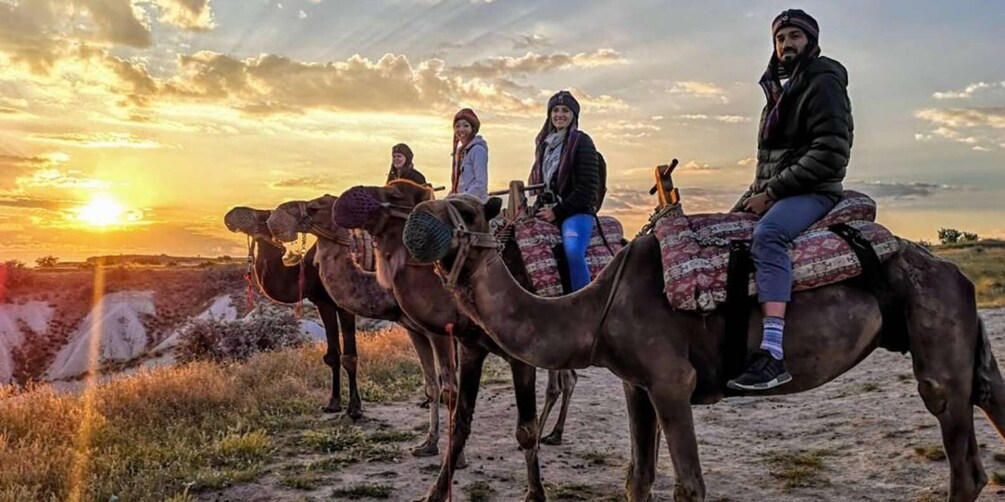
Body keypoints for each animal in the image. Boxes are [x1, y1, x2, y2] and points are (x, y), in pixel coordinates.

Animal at [224, 205, 361, 417]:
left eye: (264, 214)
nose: (232, 214)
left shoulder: (346, 304)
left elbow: (349, 357)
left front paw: (354, 408)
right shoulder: (324, 303)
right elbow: (332, 355)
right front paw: (333, 403)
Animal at [265, 199, 458, 459]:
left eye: (316, 206)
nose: (276, 217)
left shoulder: (440, 331)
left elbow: (450, 390)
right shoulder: (416, 330)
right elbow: (432, 387)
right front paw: (428, 444)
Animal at [404, 188, 1005, 501]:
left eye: (470, 211)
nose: (419, 218)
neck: (595, 310)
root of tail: (953, 271)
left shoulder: (672, 383)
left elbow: (688, 486)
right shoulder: (637, 384)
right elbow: (638, 479)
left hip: (936, 332)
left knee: (960, 451)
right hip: (954, 331)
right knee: (988, 400)